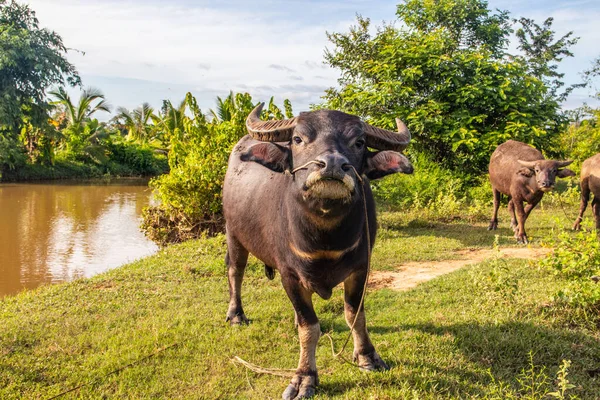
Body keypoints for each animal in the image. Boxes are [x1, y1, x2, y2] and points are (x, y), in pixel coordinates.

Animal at [223, 104, 414, 398]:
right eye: (298, 139)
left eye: (359, 142)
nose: (332, 164)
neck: (325, 237)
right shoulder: (289, 275)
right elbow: (309, 327)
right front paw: (304, 377)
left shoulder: (361, 268)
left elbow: (355, 315)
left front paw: (367, 357)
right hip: (233, 233)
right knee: (236, 272)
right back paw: (236, 315)